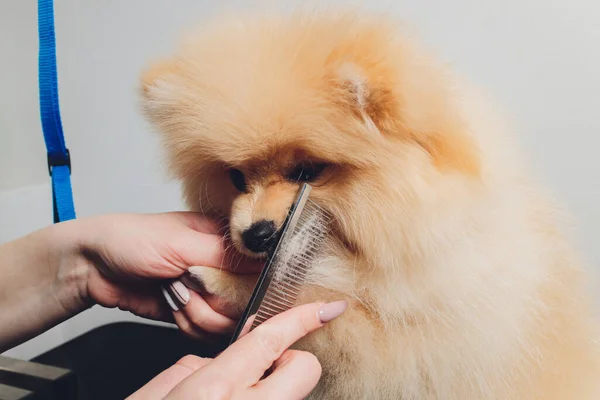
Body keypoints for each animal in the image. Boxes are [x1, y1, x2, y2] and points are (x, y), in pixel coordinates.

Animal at [139, 7, 600, 398]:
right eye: (235, 178)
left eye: (306, 172)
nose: (256, 235)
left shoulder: (412, 338)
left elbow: (317, 301)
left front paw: (218, 280)